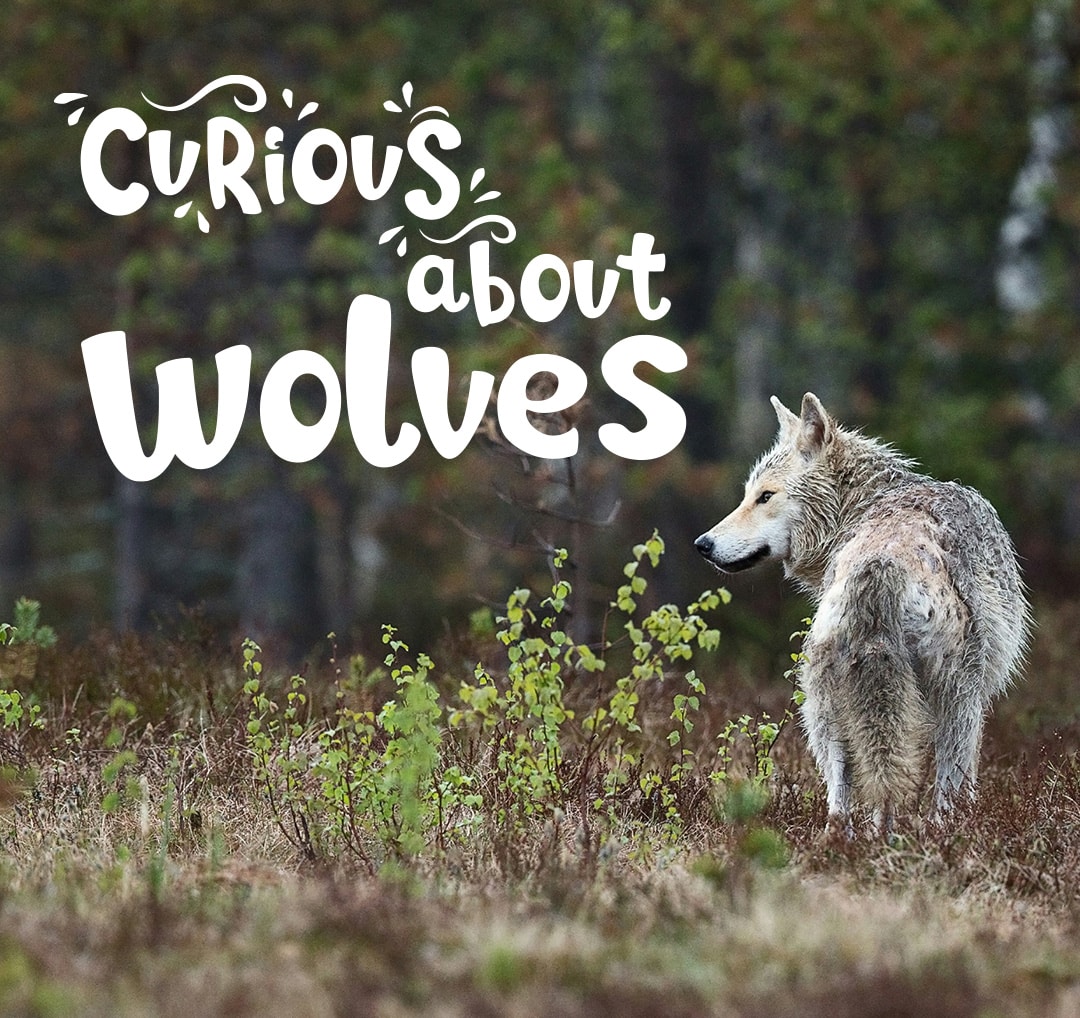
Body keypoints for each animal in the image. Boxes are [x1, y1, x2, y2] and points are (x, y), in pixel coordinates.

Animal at [694, 393, 1030, 831]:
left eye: (764, 496)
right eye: (750, 495)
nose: (702, 544)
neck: (861, 504)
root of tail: (880, 565)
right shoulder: (975, 696)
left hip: (824, 703)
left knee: (843, 796)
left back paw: (849, 840)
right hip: (956, 697)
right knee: (940, 786)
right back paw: (938, 834)